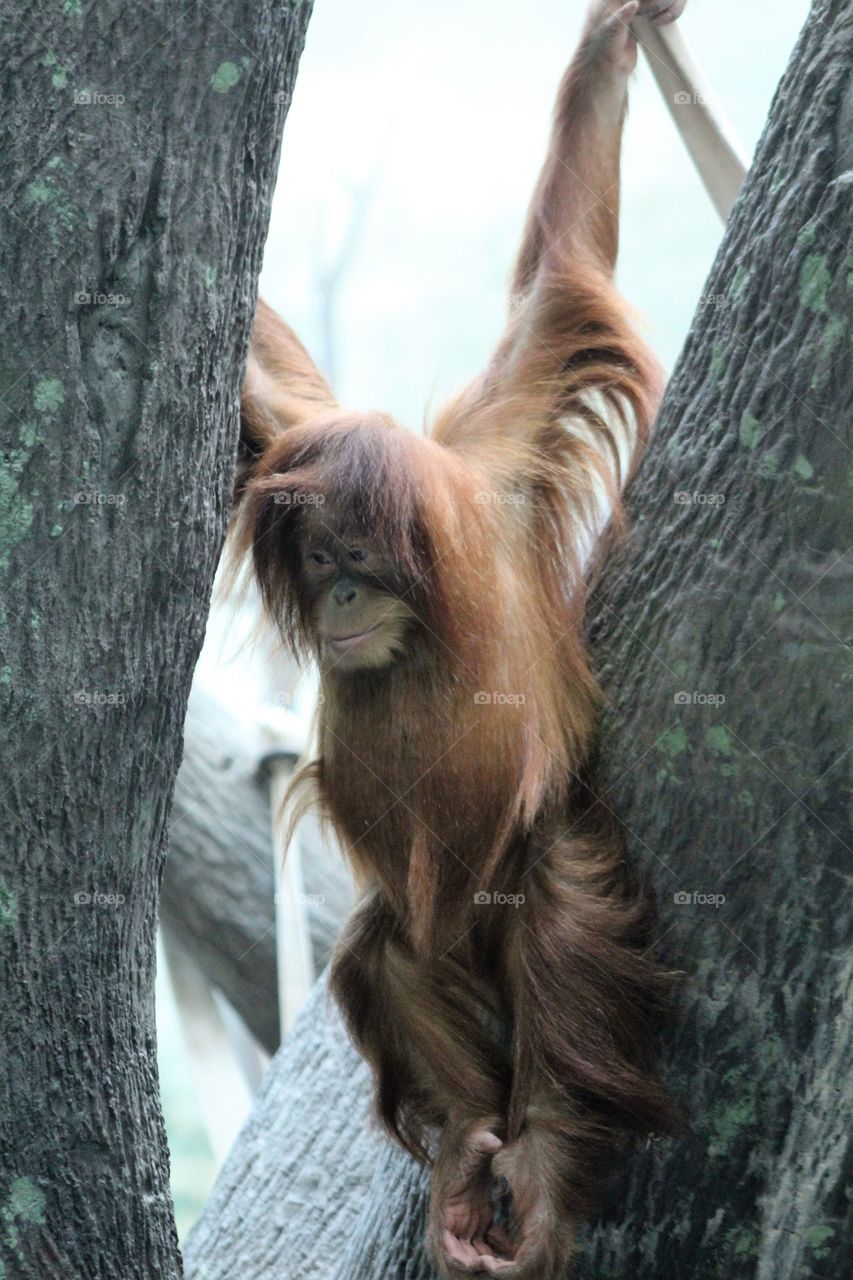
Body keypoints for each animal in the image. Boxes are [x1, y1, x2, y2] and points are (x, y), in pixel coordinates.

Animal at [235, 2, 685, 1274]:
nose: (339, 599)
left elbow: (558, 276)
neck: (424, 620)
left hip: (528, 874)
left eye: (354, 556)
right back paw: (467, 1134)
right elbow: (268, 388)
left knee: (556, 909)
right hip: (430, 945)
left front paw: (609, 43)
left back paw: (538, 1158)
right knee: (381, 948)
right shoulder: (308, 441)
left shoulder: (501, 455)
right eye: (317, 562)